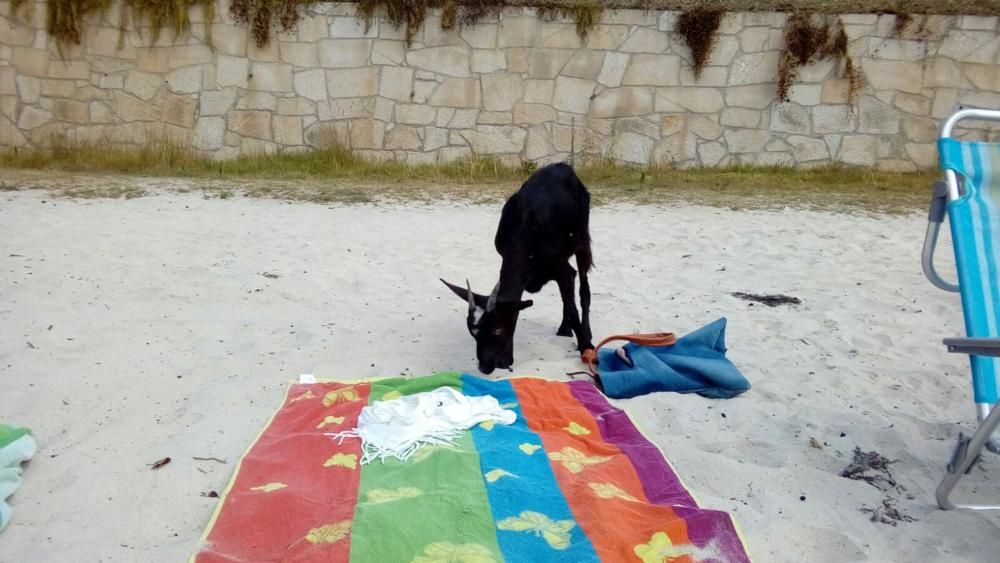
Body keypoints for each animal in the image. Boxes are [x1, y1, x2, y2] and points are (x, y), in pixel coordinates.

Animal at [440, 163, 592, 374]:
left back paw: (585, 333)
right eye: (472, 332)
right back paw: (565, 328)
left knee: (583, 285)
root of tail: (563, 166)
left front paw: (586, 347)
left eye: (498, 329)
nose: (485, 367)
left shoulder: (560, 268)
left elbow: (572, 306)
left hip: (582, 237)